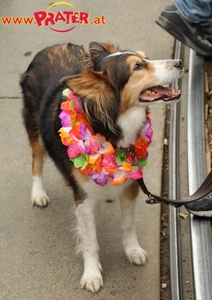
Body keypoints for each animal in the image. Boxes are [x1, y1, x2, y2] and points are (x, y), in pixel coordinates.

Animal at [20, 42, 184, 292]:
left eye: (146, 58)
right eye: (137, 67)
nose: (180, 63)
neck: (110, 130)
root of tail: (52, 46)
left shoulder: (131, 186)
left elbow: (128, 224)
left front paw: (132, 250)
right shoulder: (84, 199)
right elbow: (90, 241)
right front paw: (92, 274)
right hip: (35, 129)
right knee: (36, 162)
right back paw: (38, 194)